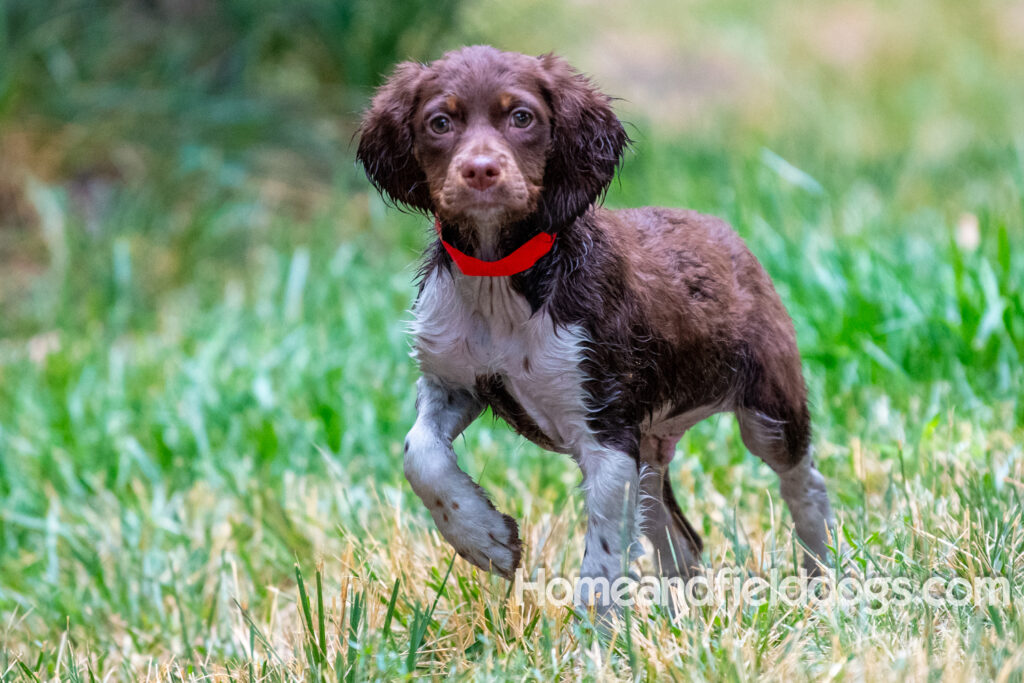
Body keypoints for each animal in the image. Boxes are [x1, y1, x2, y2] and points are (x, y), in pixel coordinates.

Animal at [356, 45, 835, 606]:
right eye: (439, 122)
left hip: (767, 407)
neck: (500, 277)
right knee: (681, 540)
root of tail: (726, 233)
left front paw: (589, 633)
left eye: (522, 118)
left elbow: (601, 569)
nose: (480, 171)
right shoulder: (451, 382)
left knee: (804, 484)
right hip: (648, 447)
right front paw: (484, 539)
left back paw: (823, 578)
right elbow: (421, 453)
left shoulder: (606, 434)